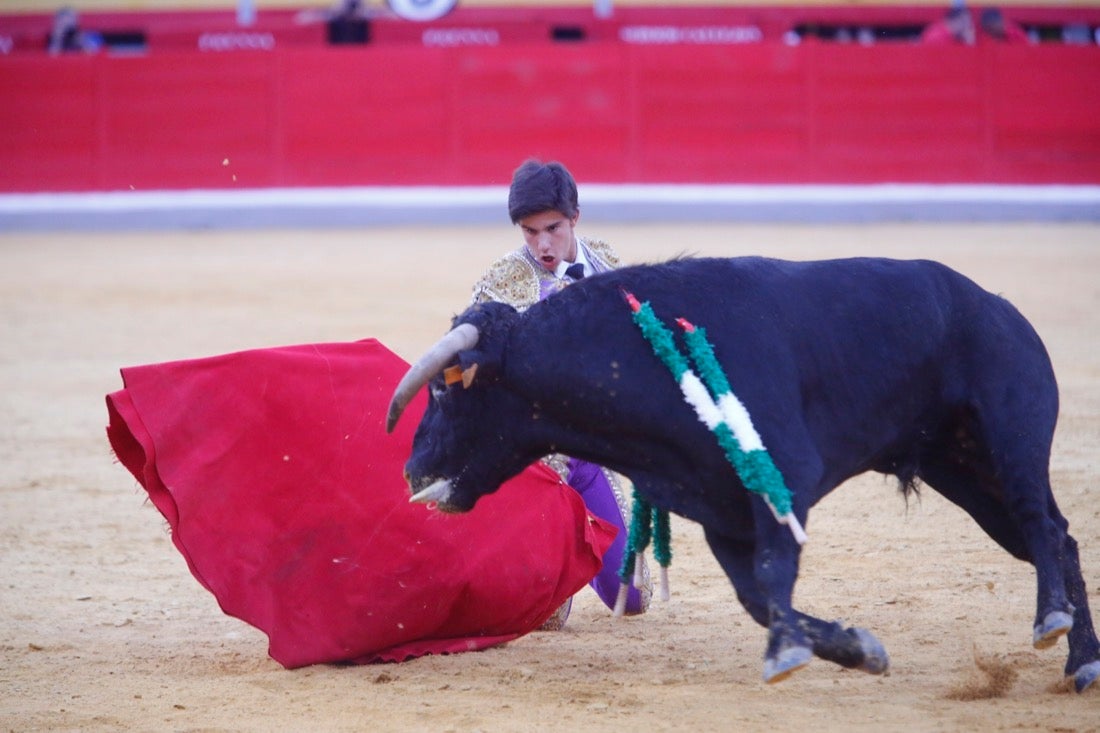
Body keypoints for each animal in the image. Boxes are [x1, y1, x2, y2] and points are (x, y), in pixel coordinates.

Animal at [382, 255, 1095, 691]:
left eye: (443, 390)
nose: (411, 469)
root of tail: (999, 308)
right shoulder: (719, 508)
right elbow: (756, 595)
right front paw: (858, 649)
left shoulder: (783, 480)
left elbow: (774, 574)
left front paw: (787, 654)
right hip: (966, 473)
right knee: (1058, 538)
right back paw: (1082, 663)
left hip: (1011, 439)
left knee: (1042, 524)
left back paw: (1052, 625)